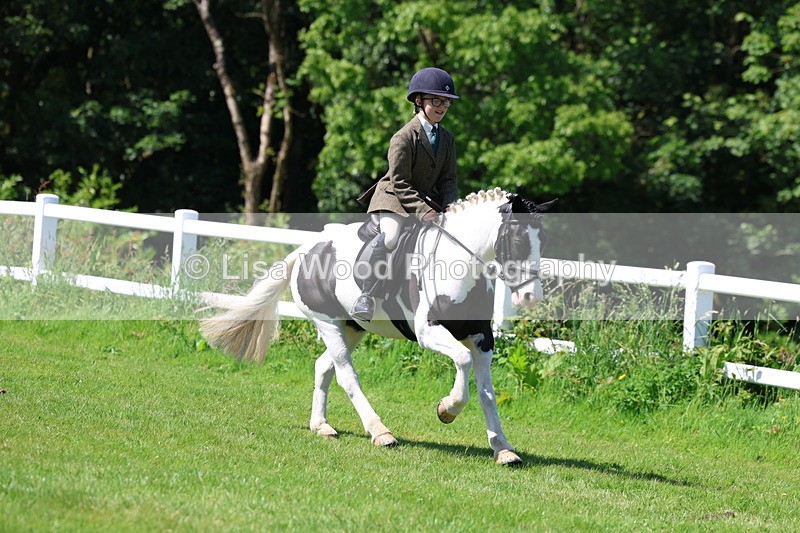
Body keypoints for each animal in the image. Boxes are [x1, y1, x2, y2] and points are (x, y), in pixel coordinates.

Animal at [200, 188, 555, 466]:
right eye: (518, 240)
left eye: (543, 241)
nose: (531, 297)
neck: (462, 265)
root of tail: (306, 250)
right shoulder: (429, 333)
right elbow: (463, 363)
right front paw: (447, 409)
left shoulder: (482, 339)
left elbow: (487, 392)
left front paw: (503, 449)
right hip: (327, 323)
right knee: (346, 375)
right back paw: (380, 432)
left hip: (352, 327)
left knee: (323, 367)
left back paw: (321, 426)